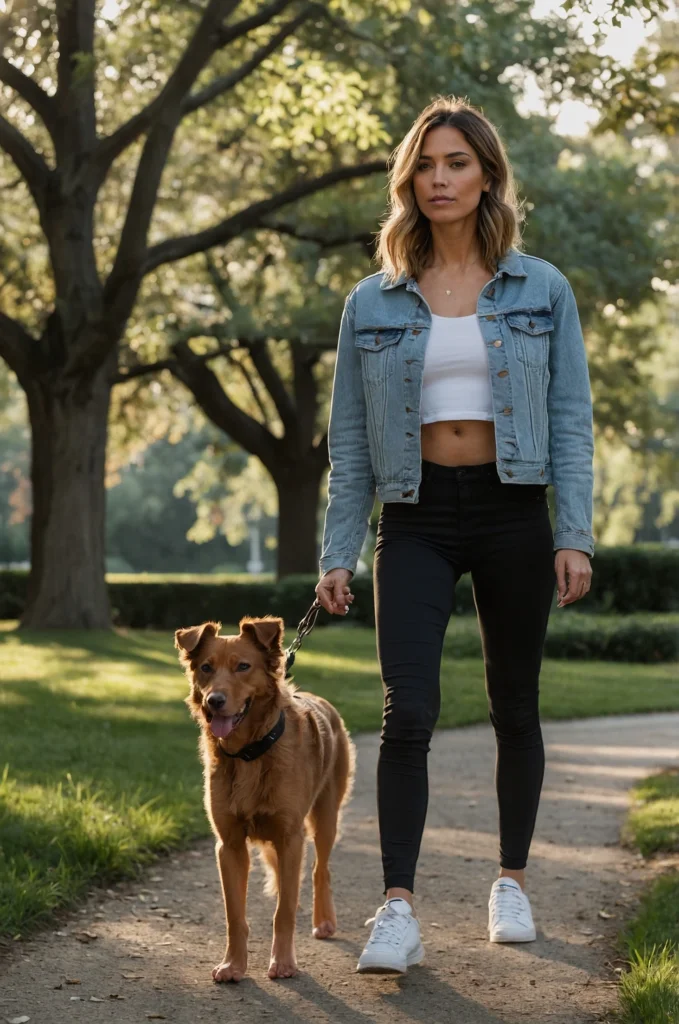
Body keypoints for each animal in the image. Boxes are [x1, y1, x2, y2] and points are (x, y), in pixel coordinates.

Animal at [175, 610, 356, 978]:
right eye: (206, 667)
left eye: (243, 666)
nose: (214, 701)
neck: (250, 754)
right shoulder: (229, 845)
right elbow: (234, 915)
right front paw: (233, 964)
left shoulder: (290, 839)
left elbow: (283, 910)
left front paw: (283, 962)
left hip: (325, 818)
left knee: (320, 869)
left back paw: (324, 921)